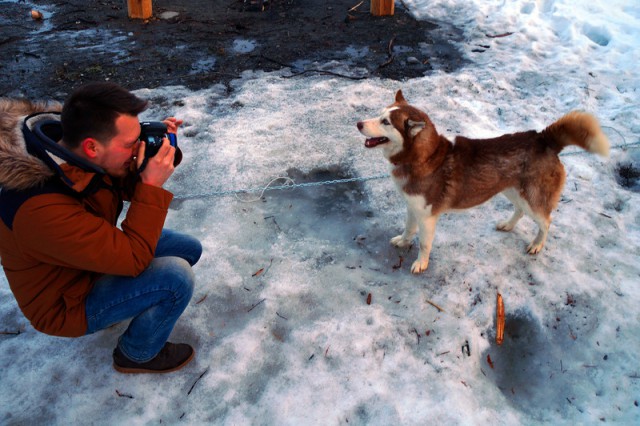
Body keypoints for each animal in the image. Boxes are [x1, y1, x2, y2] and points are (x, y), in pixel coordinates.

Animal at [356, 91, 608, 274]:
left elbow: (424, 244)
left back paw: (537, 244)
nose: (358, 123)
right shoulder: (412, 207)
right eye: (379, 114)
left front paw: (421, 263)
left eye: (385, 122)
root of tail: (542, 138)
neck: (425, 158)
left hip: (533, 199)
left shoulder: (427, 217)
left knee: (546, 221)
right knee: (520, 210)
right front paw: (402, 241)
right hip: (512, 190)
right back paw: (508, 225)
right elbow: (409, 229)